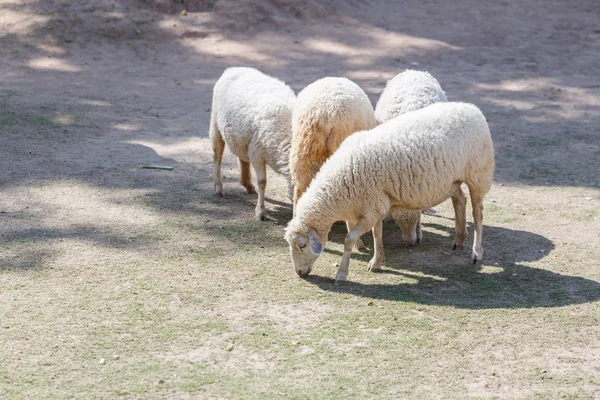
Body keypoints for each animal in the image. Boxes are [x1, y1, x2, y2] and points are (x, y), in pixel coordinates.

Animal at [210, 67, 296, 220]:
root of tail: (233, 69)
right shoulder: (257, 154)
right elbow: (262, 182)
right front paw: (260, 212)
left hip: (242, 138)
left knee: (242, 158)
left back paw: (248, 185)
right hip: (216, 125)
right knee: (217, 157)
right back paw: (218, 187)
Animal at [284, 101, 494, 282]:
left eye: (302, 245)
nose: (299, 272)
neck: (340, 182)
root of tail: (472, 108)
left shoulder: (371, 209)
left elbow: (349, 239)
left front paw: (342, 273)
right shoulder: (376, 205)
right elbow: (377, 234)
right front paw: (377, 262)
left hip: (479, 175)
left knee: (478, 213)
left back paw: (477, 252)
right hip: (452, 181)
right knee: (460, 200)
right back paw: (459, 240)